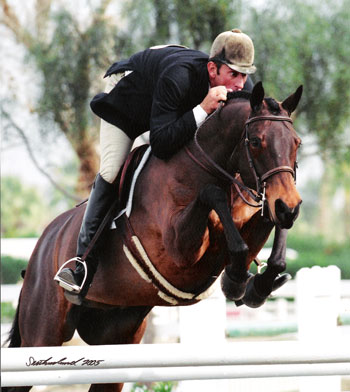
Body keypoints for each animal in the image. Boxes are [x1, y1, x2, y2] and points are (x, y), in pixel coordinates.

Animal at [4, 81, 302, 390]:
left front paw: (256, 284)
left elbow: (267, 229)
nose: (290, 207)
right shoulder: (179, 252)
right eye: (255, 141)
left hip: (117, 337)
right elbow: (212, 194)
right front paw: (236, 280)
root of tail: (42, 244)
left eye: (296, 143)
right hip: (42, 335)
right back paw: (73, 274)